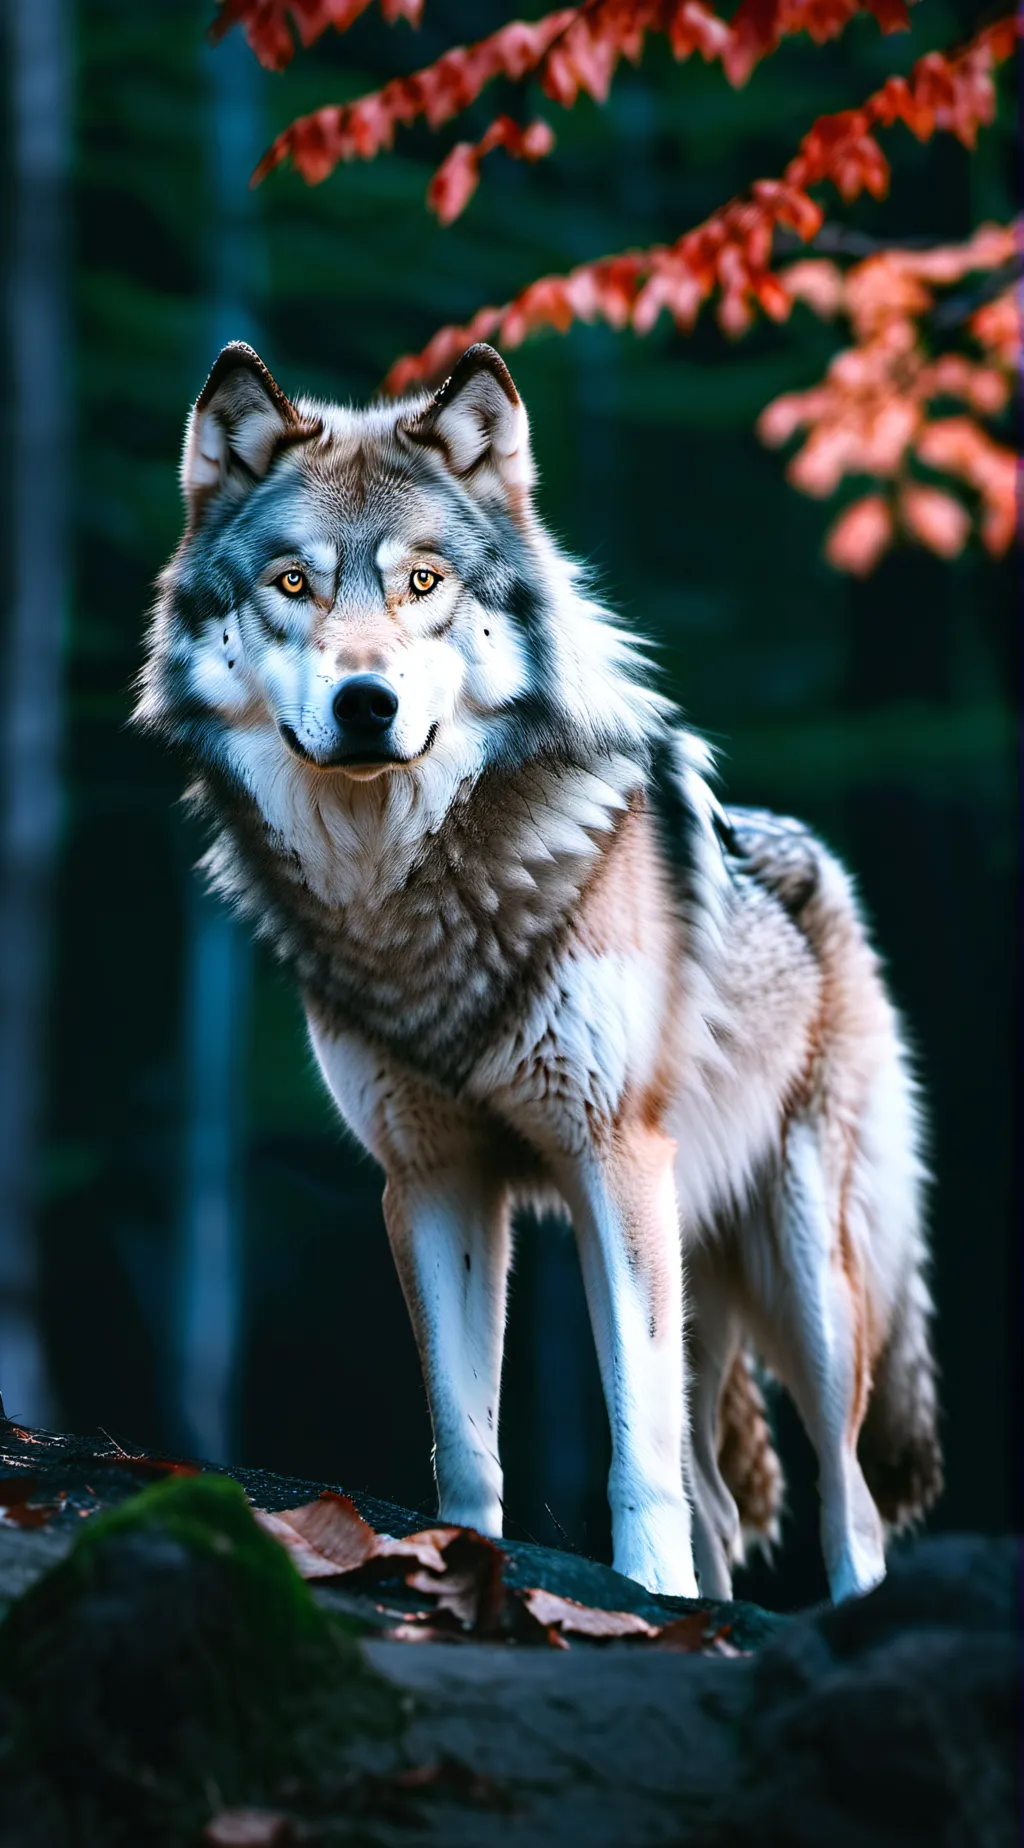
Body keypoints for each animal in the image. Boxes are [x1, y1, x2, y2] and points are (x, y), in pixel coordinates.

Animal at [137, 340, 942, 1601]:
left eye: (422, 583)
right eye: (293, 585)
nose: (366, 704)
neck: (414, 890)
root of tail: (819, 864)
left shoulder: (613, 1160)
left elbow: (635, 1454)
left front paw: (641, 1591)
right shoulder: (432, 1178)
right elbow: (465, 1437)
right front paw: (461, 1561)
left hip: (806, 1275)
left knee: (845, 1503)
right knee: (723, 1501)